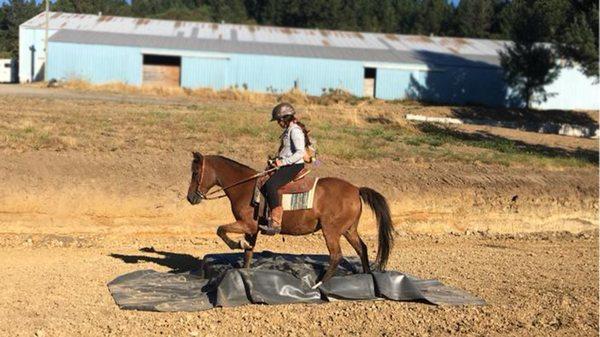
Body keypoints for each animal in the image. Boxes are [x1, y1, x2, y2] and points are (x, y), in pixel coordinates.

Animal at [188, 152, 394, 284]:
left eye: (195, 173)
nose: (190, 198)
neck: (245, 187)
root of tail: (356, 189)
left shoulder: (247, 225)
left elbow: (220, 229)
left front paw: (236, 244)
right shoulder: (252, 230)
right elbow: (248, 253)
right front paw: (244, 273)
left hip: (331, 230)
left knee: (336, 255)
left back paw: (319, 284)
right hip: (349, 230)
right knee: (362, 249)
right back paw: (367, 276)